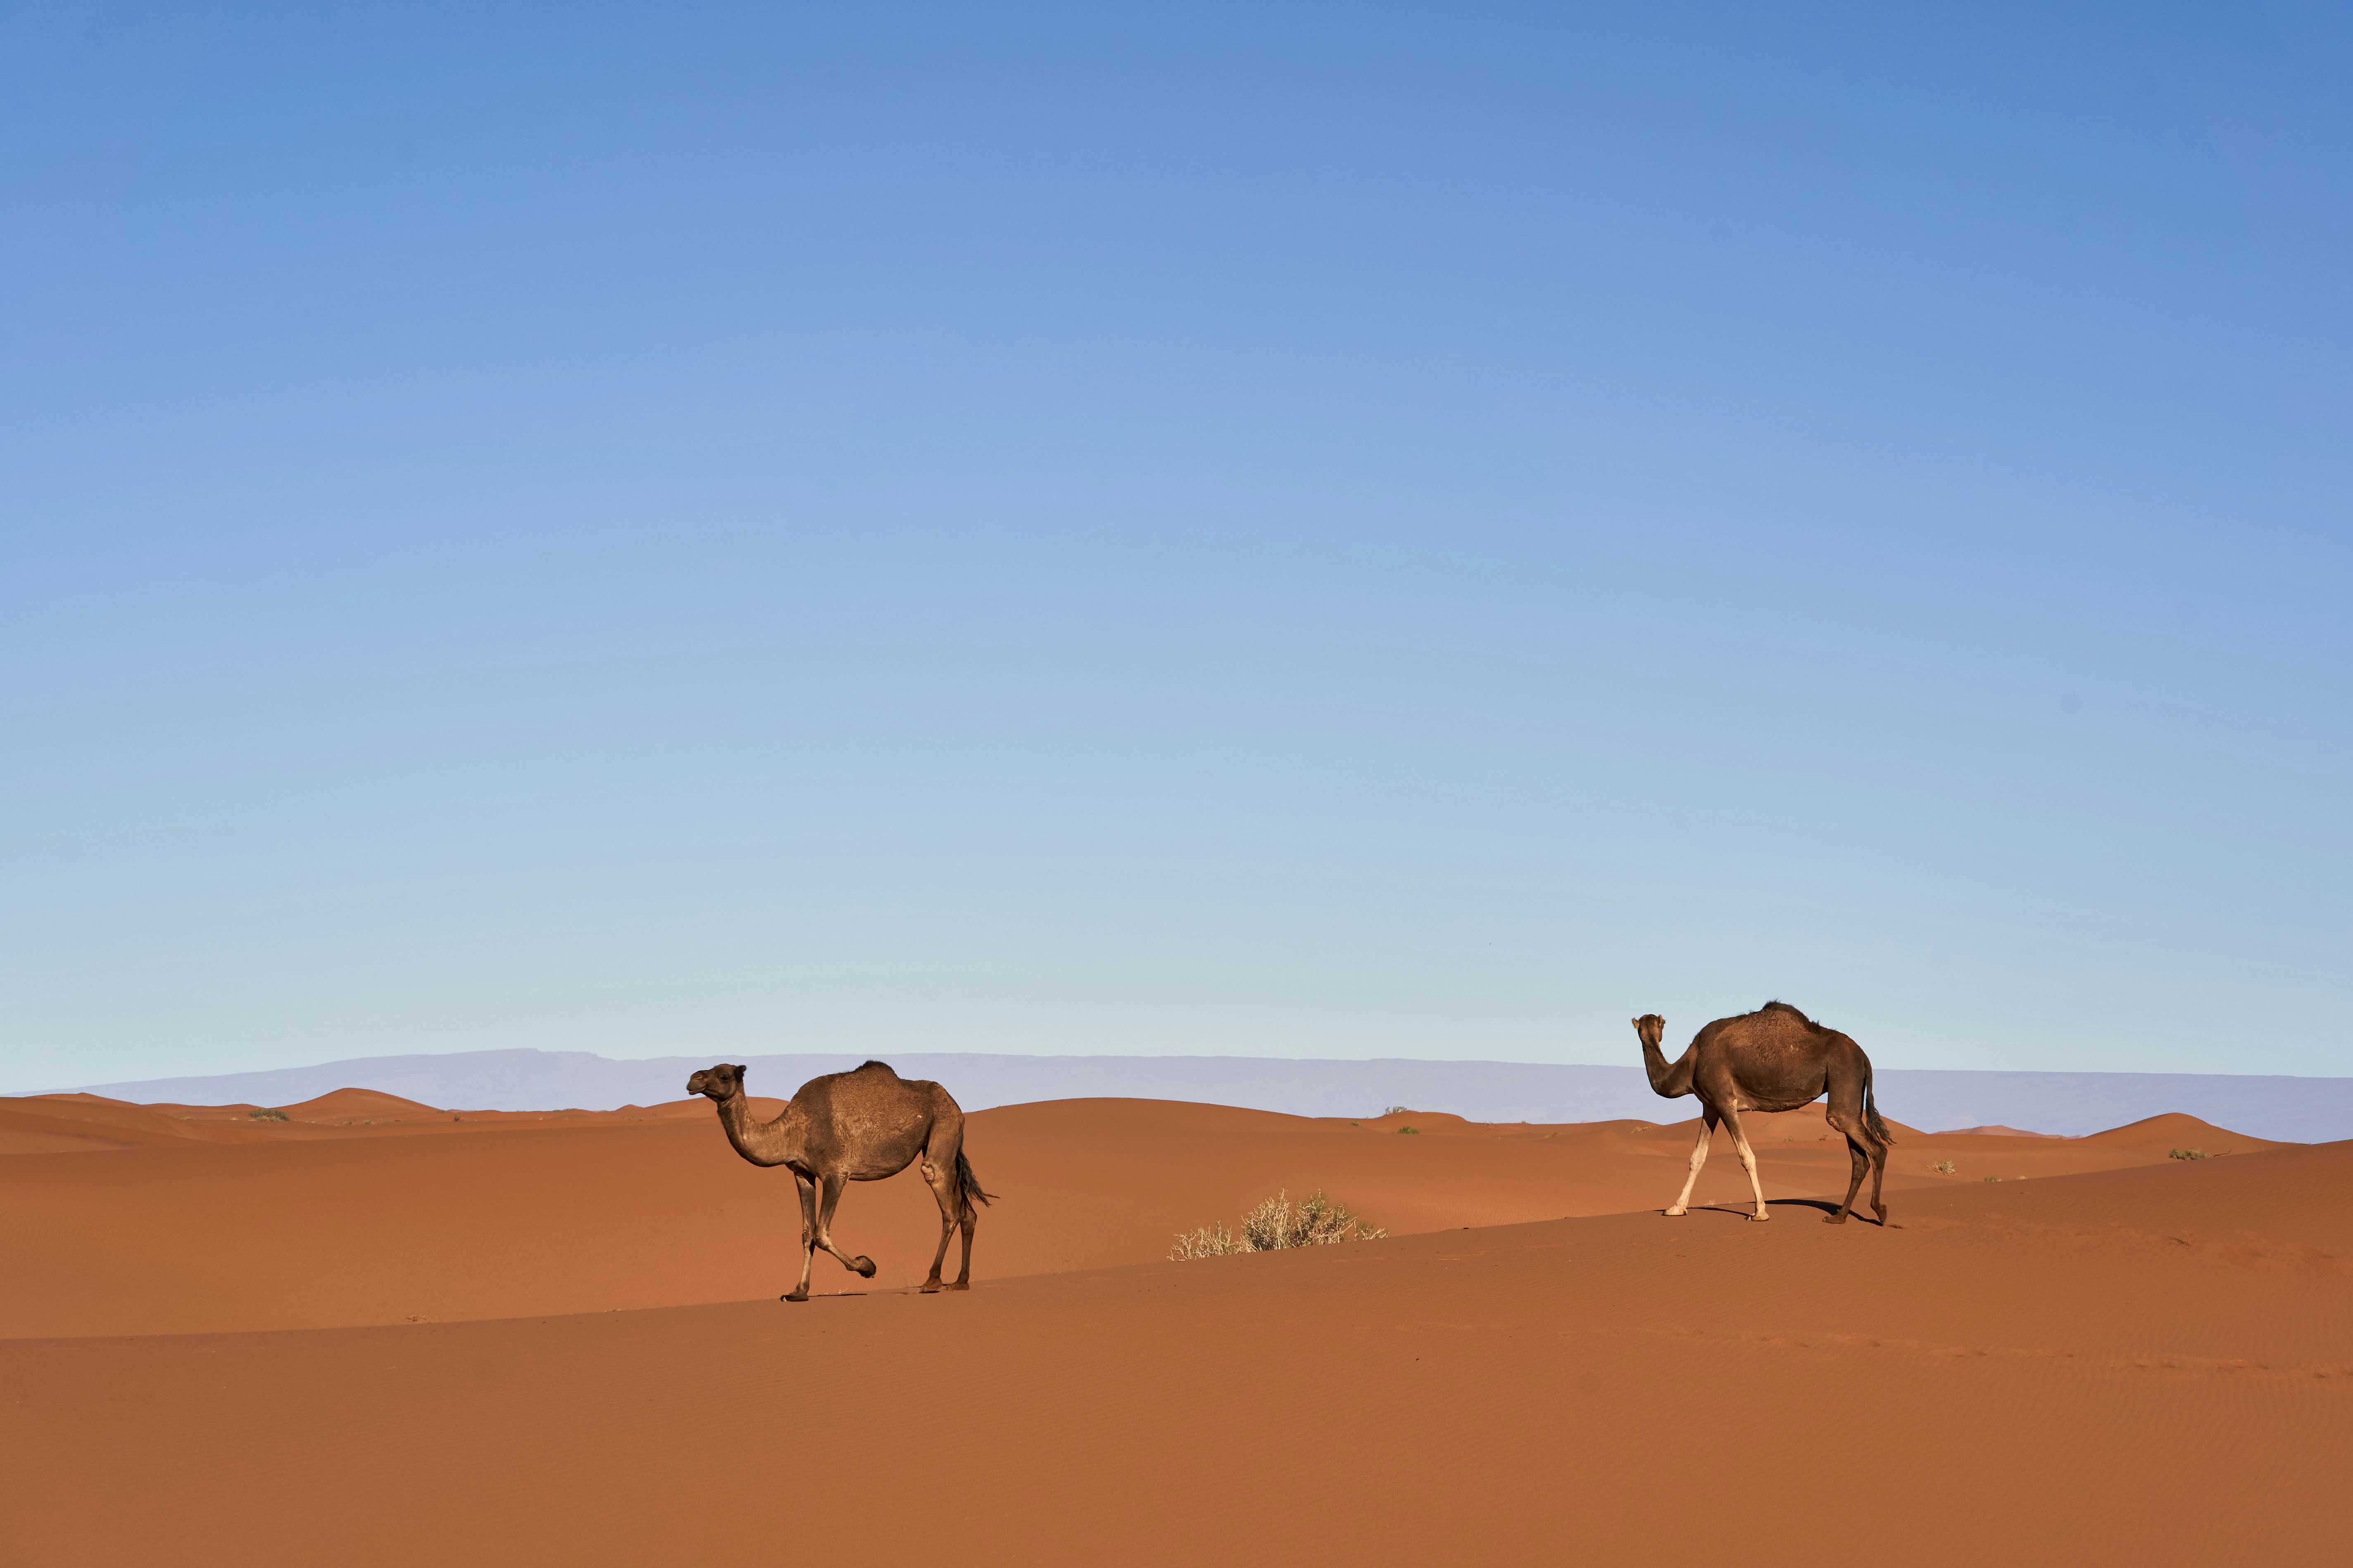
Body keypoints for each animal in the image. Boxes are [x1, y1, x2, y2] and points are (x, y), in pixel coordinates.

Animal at [687, 1059, 994, 1301]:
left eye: (724, 1075)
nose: (693, 1079)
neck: (792, 1131)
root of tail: (954, 1103)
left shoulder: (836, 1174)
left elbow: (821, 1233)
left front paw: (867, 1266)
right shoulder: (802, 1173)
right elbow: (806, 1233)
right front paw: (798, 1292)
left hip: (943, 1129)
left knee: (946, 1204)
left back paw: (932, 1281)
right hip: (947, 1147)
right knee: (967, 1214)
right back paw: (961, 1282)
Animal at [1632, 1000, 1895, 1226]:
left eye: (1656, 1025)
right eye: (1642, 1027)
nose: (1646, 1029)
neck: (1692, 1062)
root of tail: (1864, 1057)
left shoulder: (1724, 1099)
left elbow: (1746, 1157)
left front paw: (1759, 1212)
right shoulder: (1710, 1105)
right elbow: (1697, 1158)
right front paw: (1676, 1208)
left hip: (1844, 1075)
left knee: (1874, 1148)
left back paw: (1881, 1212)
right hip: (1849, 1093)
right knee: (1859, 1159)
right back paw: (1839, 1217)